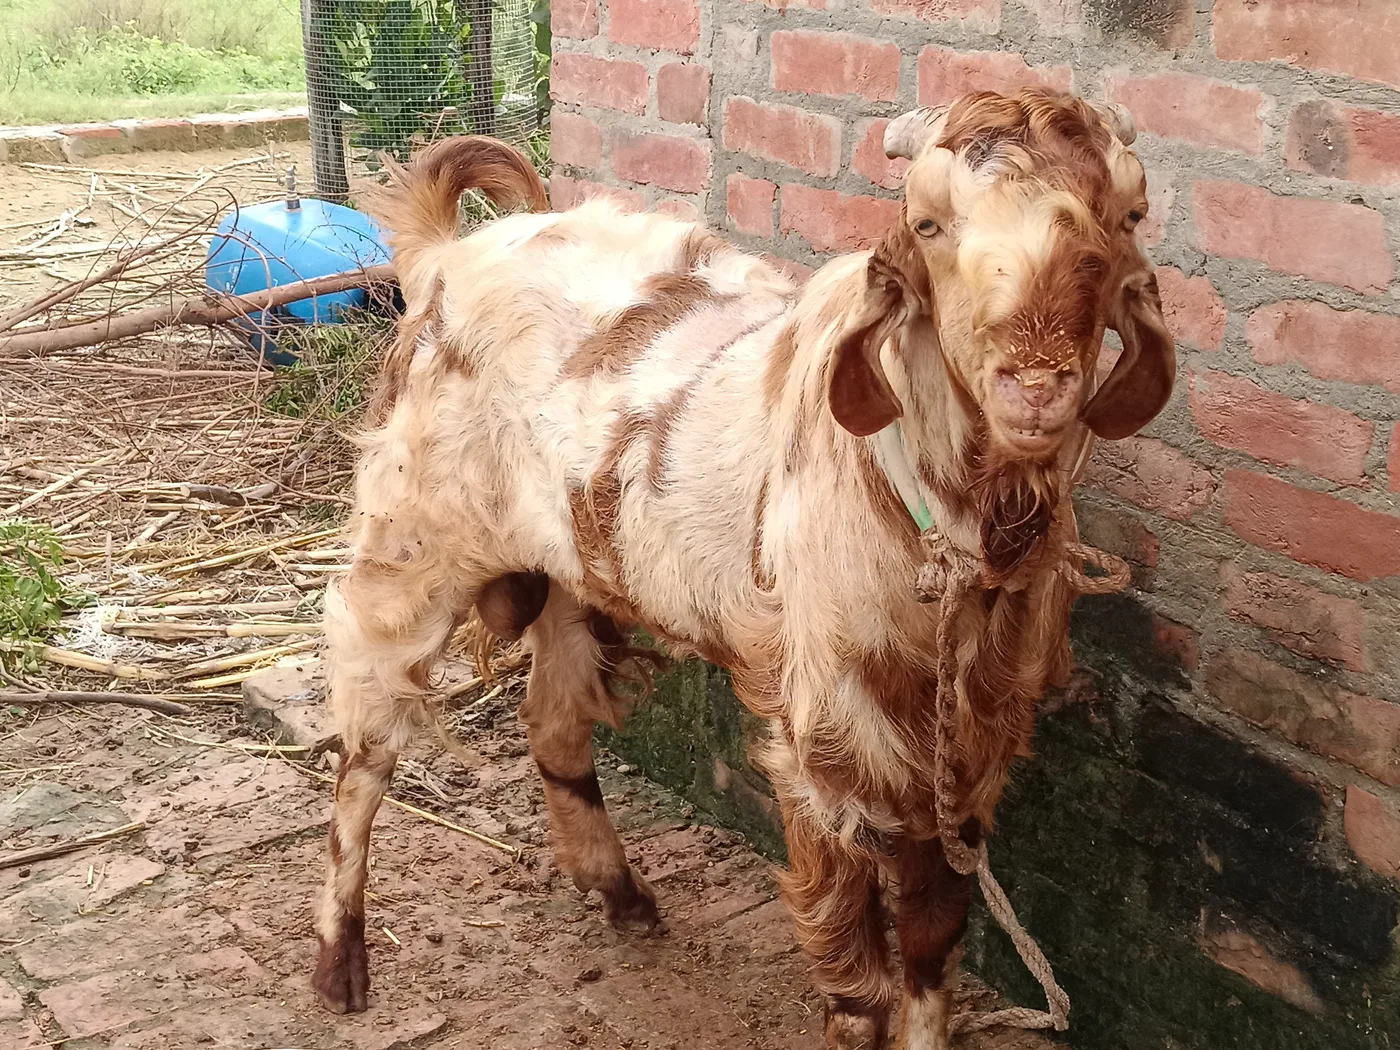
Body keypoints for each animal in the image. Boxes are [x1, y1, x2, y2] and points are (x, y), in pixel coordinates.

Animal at [311, 88, 1175, 1050]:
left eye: (1126, 218)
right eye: (928, 223)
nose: (1036, 381)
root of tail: (444, 253)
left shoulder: (970, 750)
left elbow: (930, 947)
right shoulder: (824, 748)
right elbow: (857, 980)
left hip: (574, 564)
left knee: (554, 722)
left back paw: (623, 895)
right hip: (411, 539)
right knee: (366, 727)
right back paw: (341, 960)